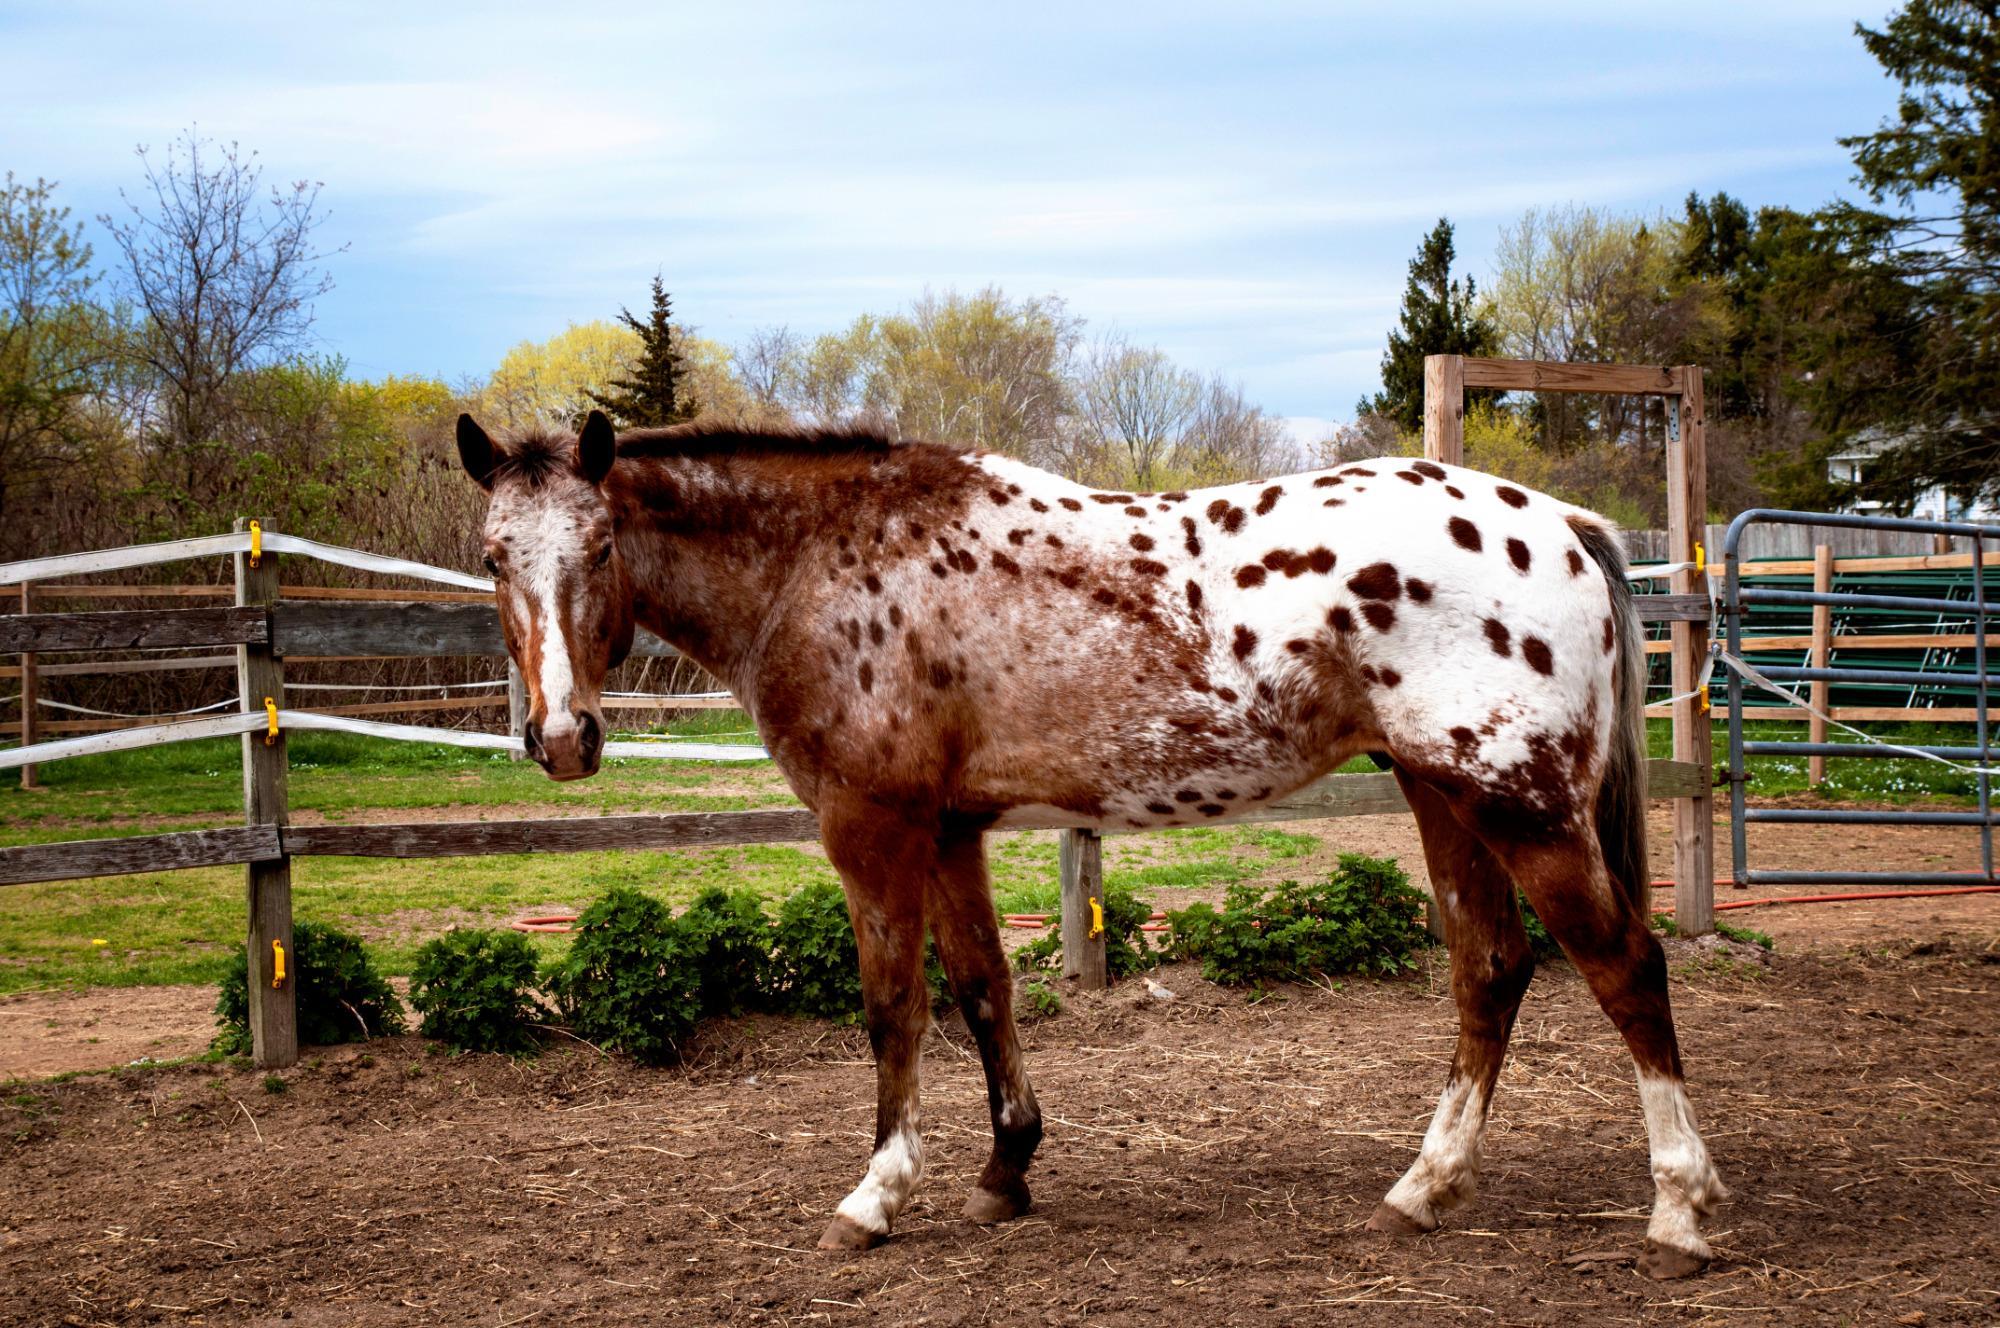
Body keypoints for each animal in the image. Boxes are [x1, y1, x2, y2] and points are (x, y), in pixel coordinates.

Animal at [454, 412, 1720, 1280]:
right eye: (492, 554)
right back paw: (1423, 1185)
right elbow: (981, 991)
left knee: (1622, 966)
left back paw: (1676, 1209)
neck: (822, 561)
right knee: (1489, 969)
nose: (561, 737)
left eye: (601, 546)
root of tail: (1557, 522)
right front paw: (1004, 1168)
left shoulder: (871, 827)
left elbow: (891, 1006)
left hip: (1515, 801)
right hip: (1440, 793)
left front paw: (875, 1195)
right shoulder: (950, 832)